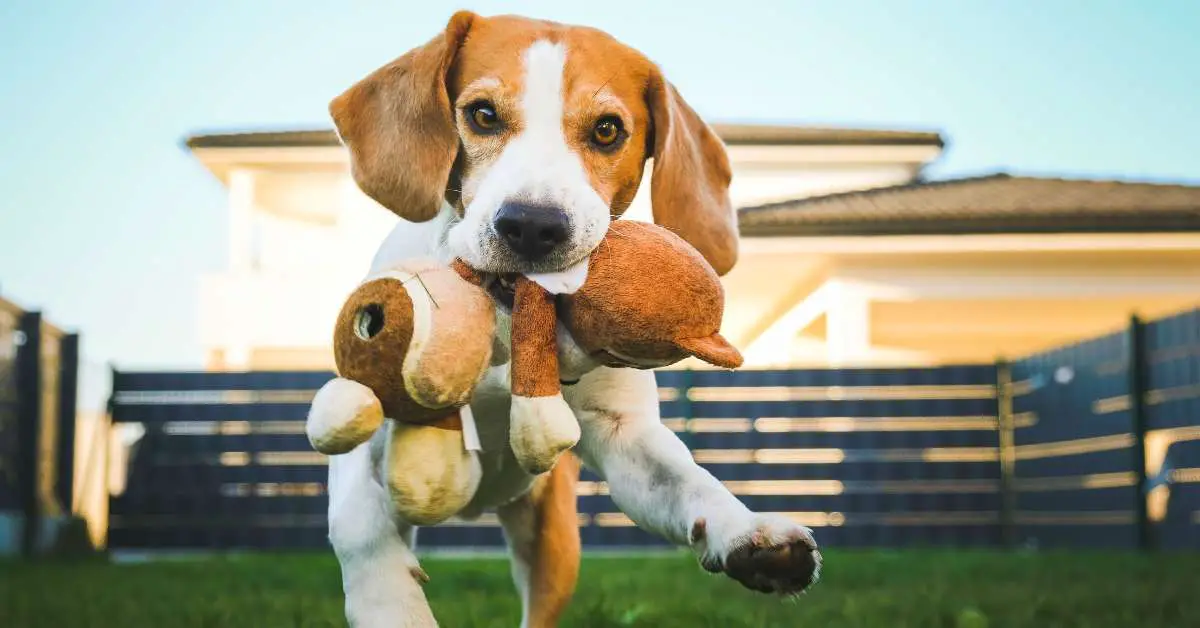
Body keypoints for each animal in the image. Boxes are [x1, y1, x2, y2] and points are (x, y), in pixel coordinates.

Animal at [324, 11, 820, 628]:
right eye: (482, 114)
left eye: (607, 130)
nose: (533, 225)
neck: (507, 325)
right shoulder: (364, 421)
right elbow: (358, 526)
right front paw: (389, 602)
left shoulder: (623, 436)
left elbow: (688, 478)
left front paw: (745, 532)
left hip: (553, 545)